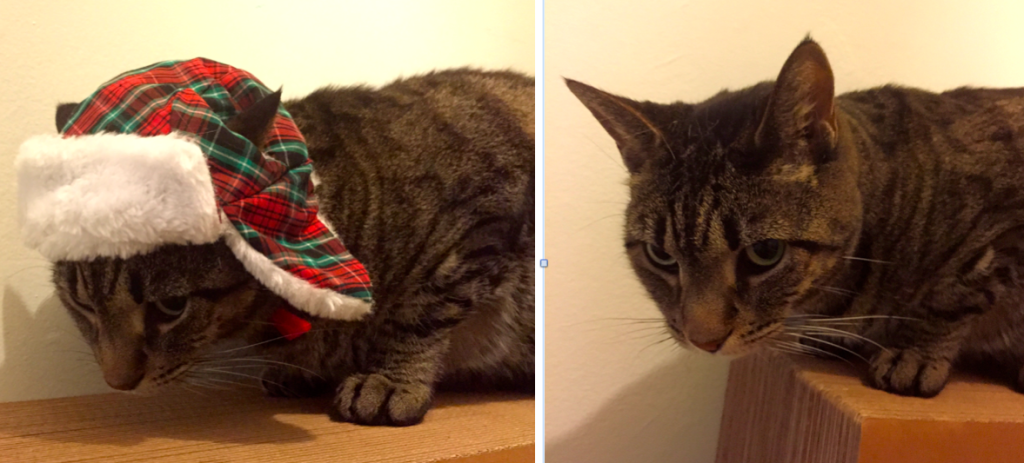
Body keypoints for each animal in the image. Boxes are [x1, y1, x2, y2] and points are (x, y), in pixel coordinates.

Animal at [51, 67, 536, 424]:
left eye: (172, 307)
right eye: (82, 304)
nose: (117, 383)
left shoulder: (484, 220)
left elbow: (418, 315)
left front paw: (390, 379)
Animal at [569, 37, 1024, 397]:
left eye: (766, 253)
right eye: (660, 256)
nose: (704, 342)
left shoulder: (1001, 236)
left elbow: (954, 293)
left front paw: (913, 351)